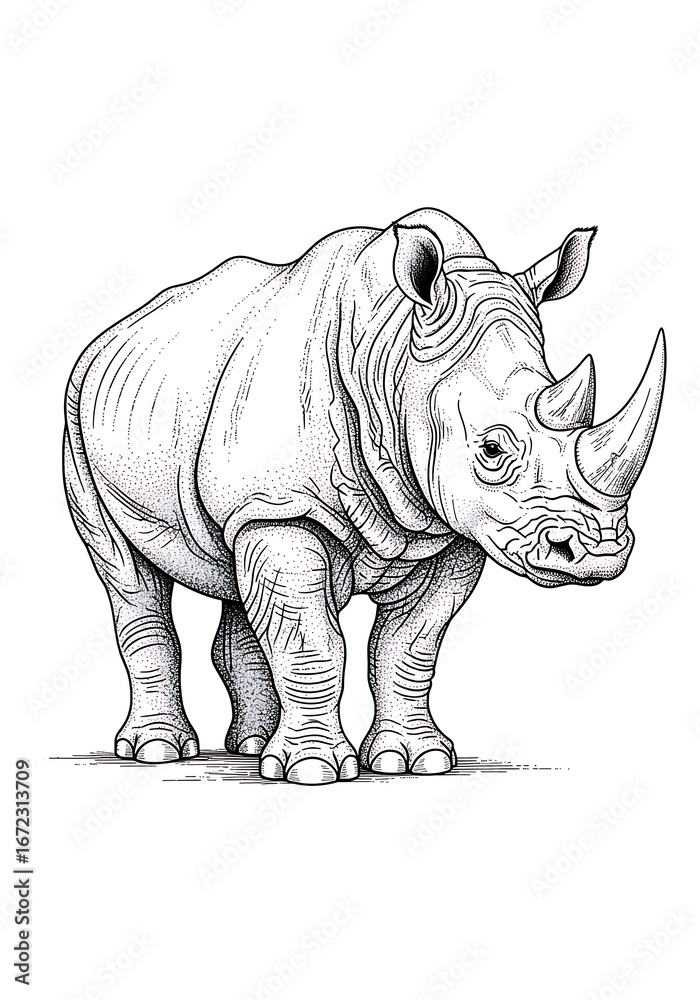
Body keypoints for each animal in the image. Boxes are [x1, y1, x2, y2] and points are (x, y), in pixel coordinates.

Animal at [64, 208, 665, 784]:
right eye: (492, 449)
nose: (599, 553)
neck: (394, 359)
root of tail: (111, 334)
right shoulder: (283, 508)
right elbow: (311, 643)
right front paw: (312, 772)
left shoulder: (448, 529)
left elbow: (409, 646)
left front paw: (416, 761)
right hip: (77, 414)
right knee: (129, 576)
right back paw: (160, 752)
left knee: (233, 574)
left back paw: (249, 749)